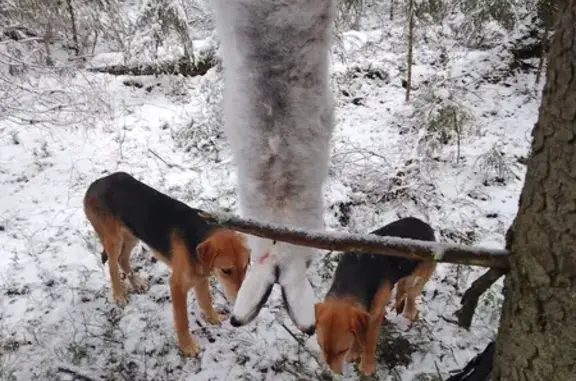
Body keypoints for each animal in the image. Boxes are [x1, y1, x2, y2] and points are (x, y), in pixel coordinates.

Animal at [83, 172, 250, 356]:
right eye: (226, 271)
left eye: (245, 268)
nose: (241, 304)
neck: (196, 238)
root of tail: (94, 184)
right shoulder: (177, 286)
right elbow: (182, 320)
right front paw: (187, 346)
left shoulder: (200, 278)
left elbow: (206, 301)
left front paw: (213, 318)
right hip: (114, 240)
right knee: (113, 265)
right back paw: (119, 295)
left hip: (132, 234)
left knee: (123, 259)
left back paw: (137, 283)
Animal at [316, 217, 436, 374]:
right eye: (321, 347)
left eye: (342, 351)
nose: (332, 373)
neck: (352, 278)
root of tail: (423, 223)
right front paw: (354, 352)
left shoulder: (374, 317)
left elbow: (370, 341)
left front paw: (367, 366)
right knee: (402, 288)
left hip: (419, 276)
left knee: (411, 292)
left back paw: (409, 310)